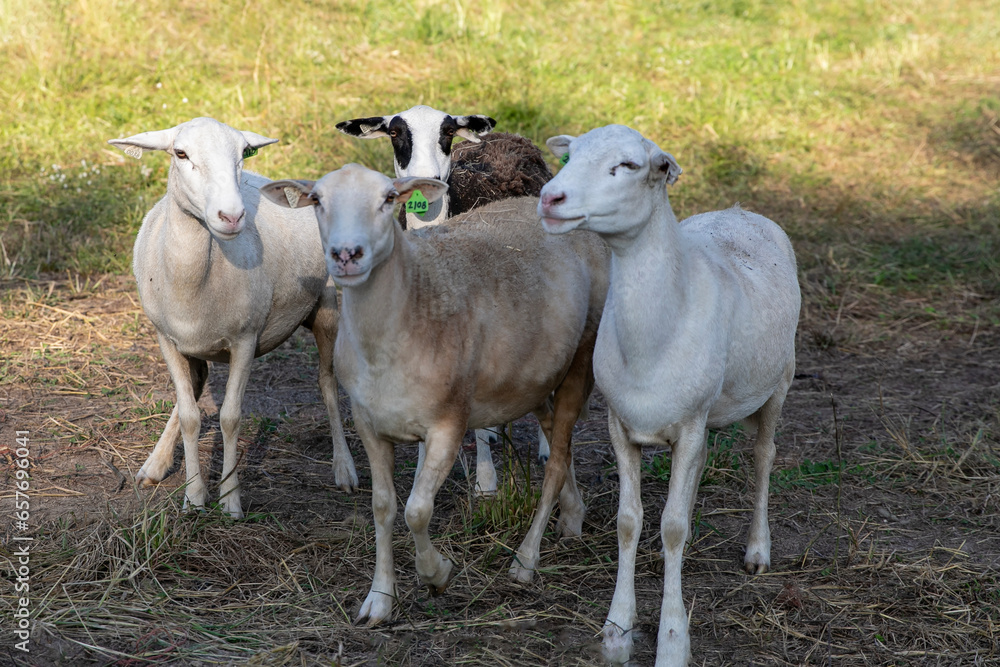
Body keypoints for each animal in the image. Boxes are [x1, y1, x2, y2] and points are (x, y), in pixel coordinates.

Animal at [109, 117, 359, 518]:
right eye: (181, 153)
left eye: (243, 152)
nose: (231, 216)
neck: (193, 280)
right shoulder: (168, 340)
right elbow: (191, 416)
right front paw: (194, 497)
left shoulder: (246, 339)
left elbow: (229, 417)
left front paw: (229, 500)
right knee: (194, 389)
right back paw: (156, 463)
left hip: (326, 306)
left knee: (328, 382)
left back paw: (344, 469)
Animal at [260, 165, 609, 626]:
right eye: (316, 200)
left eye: (389, 198)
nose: (346, 255)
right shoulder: (369, 423)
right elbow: (384, 507)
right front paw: (379, 599)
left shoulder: (447, 424)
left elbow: (416, 510)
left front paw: (437, 574)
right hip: (533, 376)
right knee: (558, 438)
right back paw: (572, 516)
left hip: (581, 357)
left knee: (555, 461)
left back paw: (525, 561)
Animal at [538, 124, 800, 666]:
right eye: (570, 156)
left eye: (628, 166)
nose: (550, 198)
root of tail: (741, 209)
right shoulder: (621, 426)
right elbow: (630, 522)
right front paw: (617, 630)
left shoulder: (690, 424)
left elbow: (672, 527)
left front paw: (673, 639)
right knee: (701, 467)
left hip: (779, 381)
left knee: (764, 456)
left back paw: (757, 551)